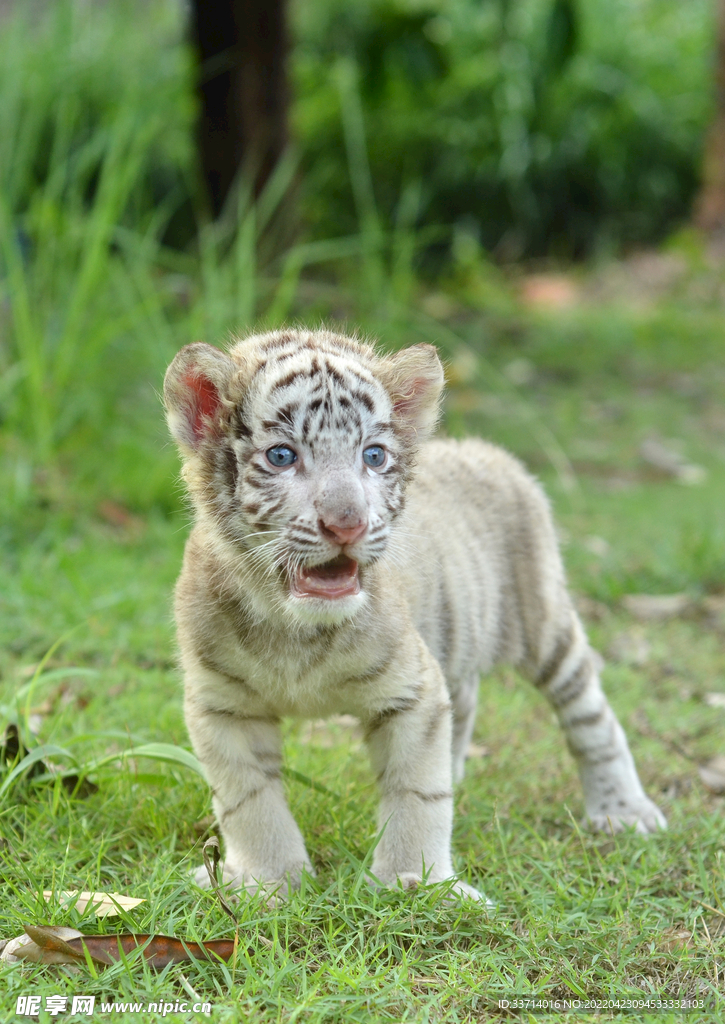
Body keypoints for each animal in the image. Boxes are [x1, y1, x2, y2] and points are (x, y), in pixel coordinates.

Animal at [163, 327, 665, 903]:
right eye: (282, 455)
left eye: (374, 456)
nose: (348, 523)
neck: (293, 628)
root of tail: (489, 451)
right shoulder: (223, 705)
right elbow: (249, 802)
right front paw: (266, 882)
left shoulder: (413, 691)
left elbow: (418, 794)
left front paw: (414, 881)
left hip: (545, 628)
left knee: (591, 715)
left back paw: (624, 811)